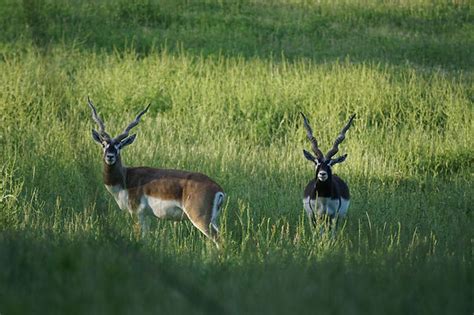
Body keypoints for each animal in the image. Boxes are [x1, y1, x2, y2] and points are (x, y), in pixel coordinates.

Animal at [88, 99, 226, 247]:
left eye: (119, 146)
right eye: (104, 144)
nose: (110, 156)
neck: (126, 178)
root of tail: (218, 189)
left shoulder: (137, 214)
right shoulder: (146, 216)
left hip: (200, 219)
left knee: (220, 240)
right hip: (213, 220)